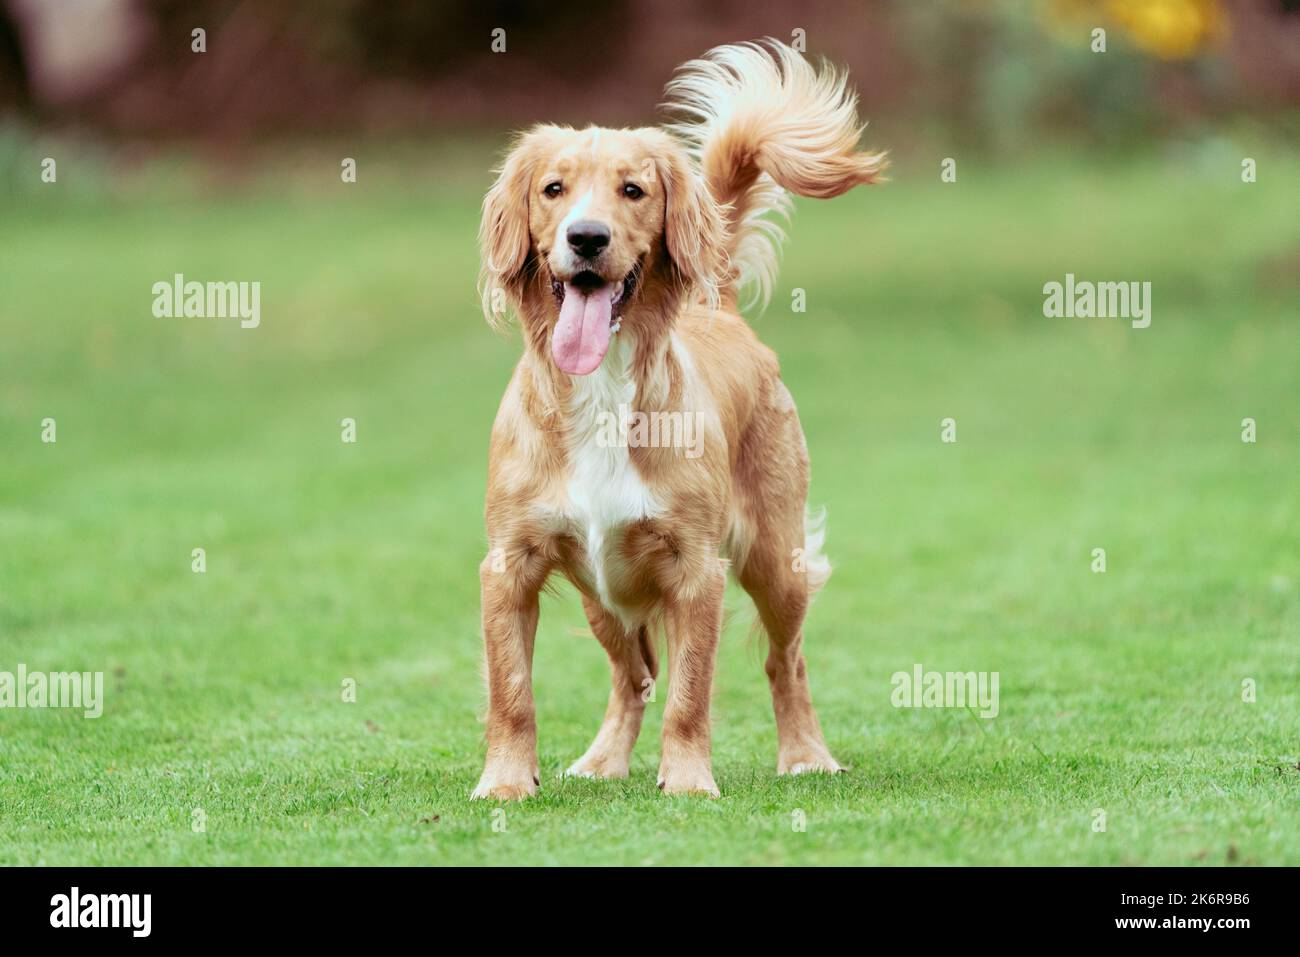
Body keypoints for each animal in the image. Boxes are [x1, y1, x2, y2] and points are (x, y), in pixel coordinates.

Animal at [473, 39, 889, 800]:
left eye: (633, 190)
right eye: (553, 189)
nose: (586, 237)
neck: (602, 392)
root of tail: (716, 305)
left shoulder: (697, 569)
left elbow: (691, 692)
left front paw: (689, 778)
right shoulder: (509, 565)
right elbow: (511, 691)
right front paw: (508, 782)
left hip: (775, 559)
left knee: (786, 661)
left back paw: (807, 754)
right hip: (602, 592)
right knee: (632, 674)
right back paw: (602, 759)